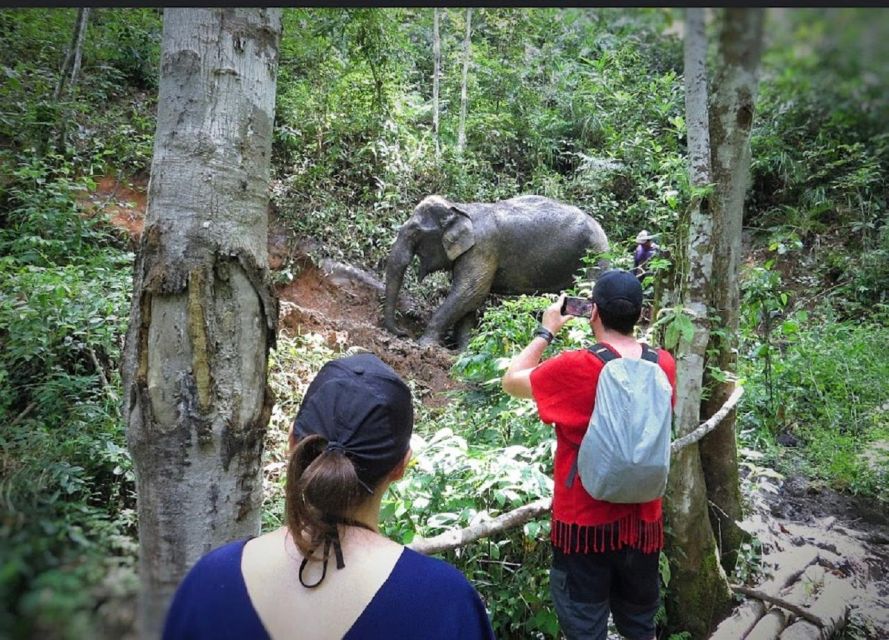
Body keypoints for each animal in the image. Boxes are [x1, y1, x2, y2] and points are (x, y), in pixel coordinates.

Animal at [382, 194, 612, 348]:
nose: (403, 333)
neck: (460, 208)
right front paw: (463, 351)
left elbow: (469, 292)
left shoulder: (483, 249)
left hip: (594, 256)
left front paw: (424, 345)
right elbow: (470, 299)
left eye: (415, 233)